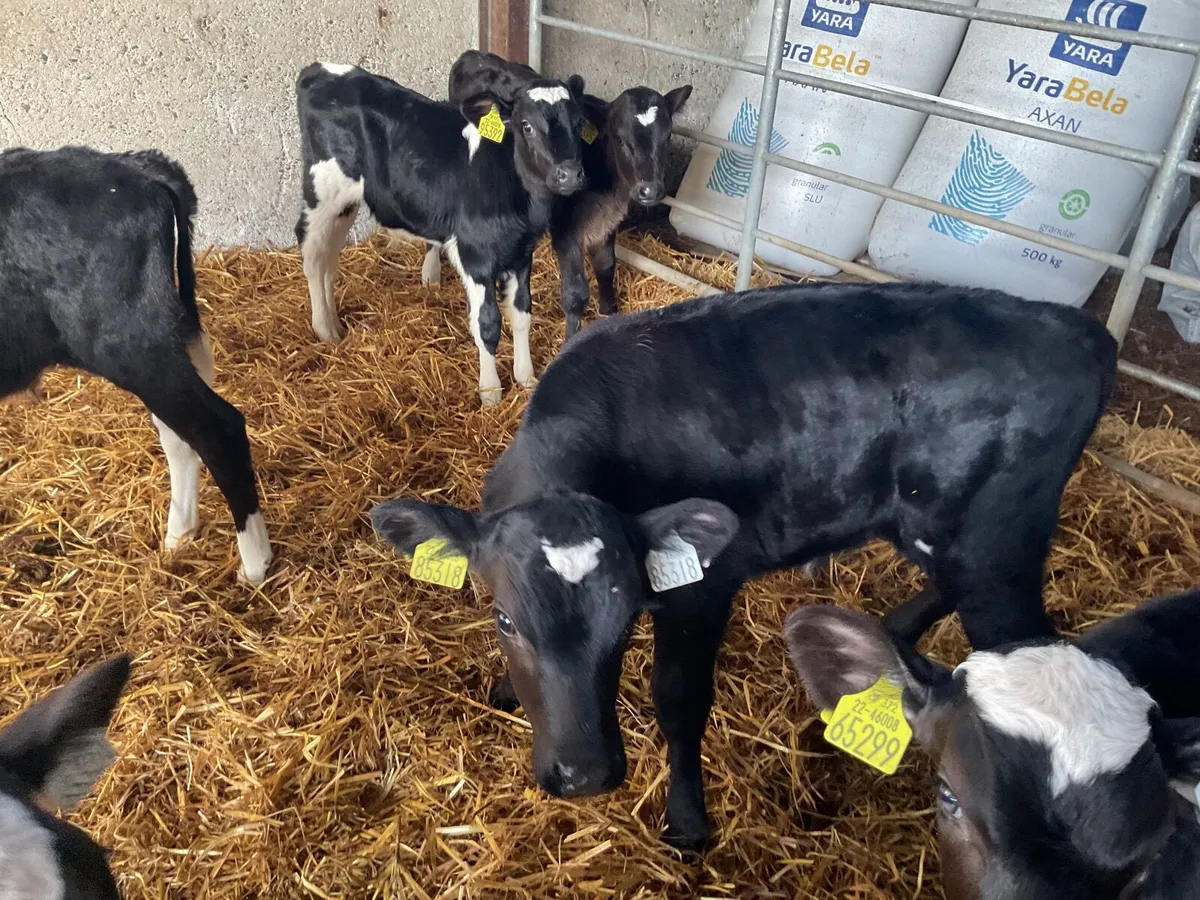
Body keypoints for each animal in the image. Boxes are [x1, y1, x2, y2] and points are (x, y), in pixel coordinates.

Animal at [0, 147, 272, 585]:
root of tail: (135, 166)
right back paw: (179, 537)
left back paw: (254, 565)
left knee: (217, 429)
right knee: (179, 432)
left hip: (129, 343)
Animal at [294, 61, 587, 406]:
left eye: (579, 122)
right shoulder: (475, 255)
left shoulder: (521, 252)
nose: (570, 174)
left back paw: (334, 324)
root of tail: (320, 69)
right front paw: (491, 392)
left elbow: (522, 313)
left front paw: (526, 377)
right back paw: (323, 329)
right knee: (313, 253)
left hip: (345, 203)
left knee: (329, 255)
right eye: (526, 126)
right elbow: (487, 324)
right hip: (323, 191)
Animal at [369, 281, 1117, 849]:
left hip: (998, 544)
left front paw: (687, 819)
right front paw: (504, 686)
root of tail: (1080, 330)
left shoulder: (703, 588)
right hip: (939, 531)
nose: (585, 777)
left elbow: (678, 699)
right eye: (505, 620)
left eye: (626, 622)